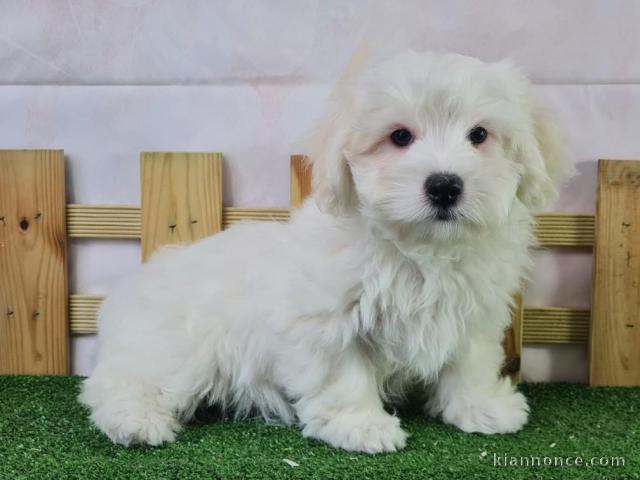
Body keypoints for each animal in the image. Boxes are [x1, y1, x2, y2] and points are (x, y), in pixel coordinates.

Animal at [79, 50, 568, 452]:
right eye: (400, 137)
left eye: (479, 134)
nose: (445, 185)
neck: (419, 248)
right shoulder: (327, 321)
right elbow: (344, 373)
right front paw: (361, 426)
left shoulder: (474, 314)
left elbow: (470, 362)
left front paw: (480, 407)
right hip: (175, 349)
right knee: (117, 380)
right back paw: (135, 421)